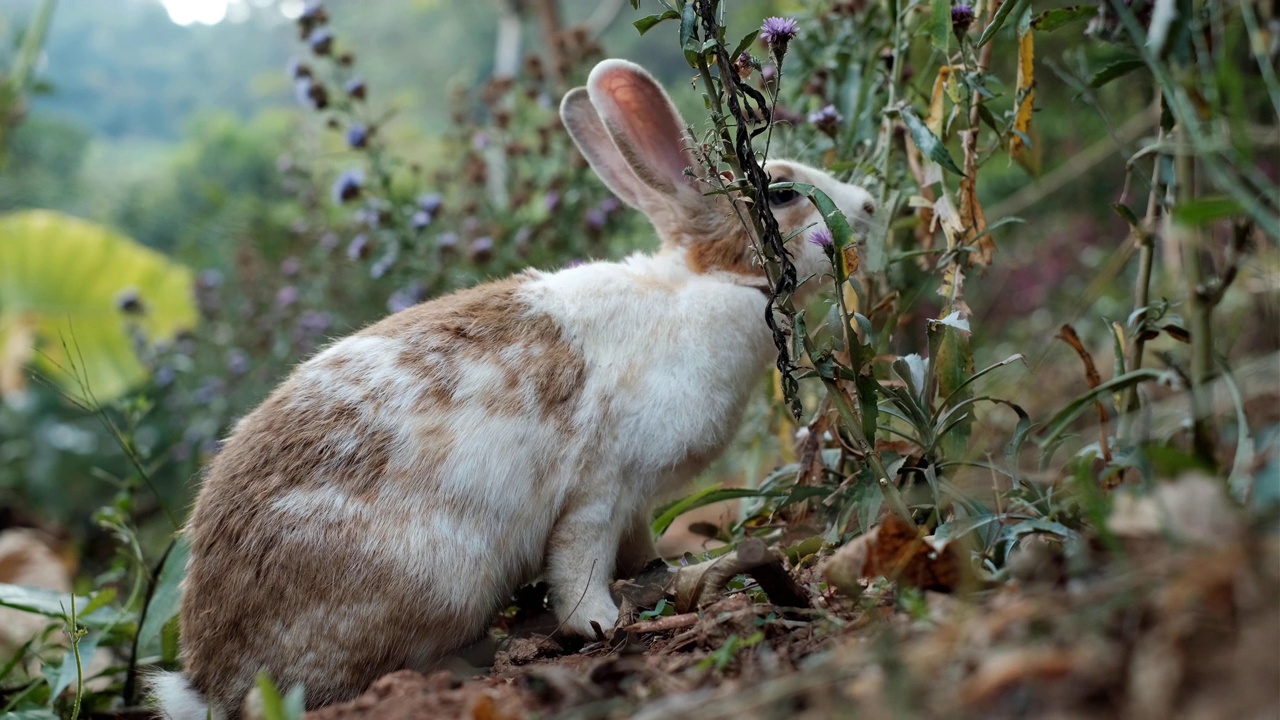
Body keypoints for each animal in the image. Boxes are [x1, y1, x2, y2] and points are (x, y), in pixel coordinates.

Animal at [145, 57, 875, 717]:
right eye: (780, 193)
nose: (867, 206)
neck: (709, 282)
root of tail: (211, 681)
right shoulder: (598, 489)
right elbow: (580, 568)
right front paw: (601, 624)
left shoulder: (635, 503)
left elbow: (637, 550)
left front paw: (665, 575)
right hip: (438, 583)